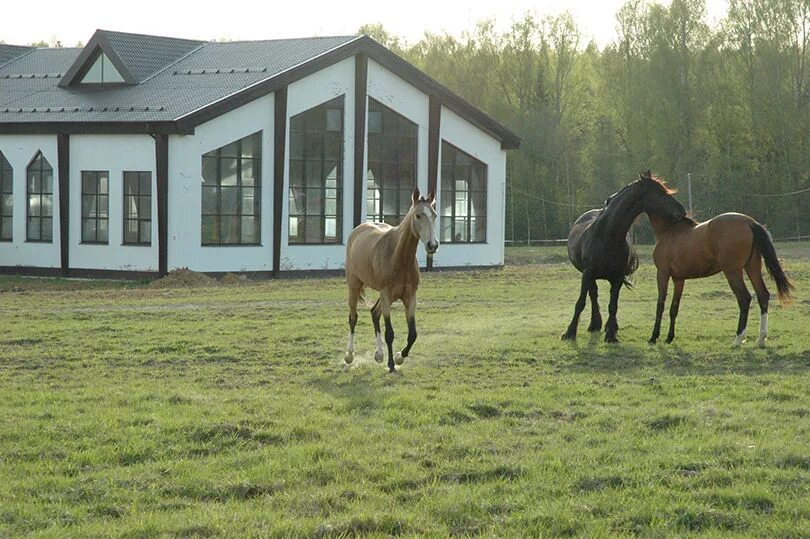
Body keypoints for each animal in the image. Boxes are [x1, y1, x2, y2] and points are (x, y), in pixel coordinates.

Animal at [344, 189, 438, 372]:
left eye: (435, 215)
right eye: (418, 215)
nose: (433, 245)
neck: (399, 256)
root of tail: (357, 231)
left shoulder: (410, 298)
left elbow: (413, 334)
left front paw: (399, 356)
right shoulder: (387, 296)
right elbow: (389, 333)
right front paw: (391, 364)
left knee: (374, 313)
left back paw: (379, 354)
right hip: (354, 286)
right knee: (353, 317)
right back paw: (350, 355)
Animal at [560, 171, 688, 344]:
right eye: (660, 195)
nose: (682, 211)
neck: (608, 236)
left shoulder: (618, 278)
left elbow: (613, 305)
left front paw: (611, 334)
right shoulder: (587, 274)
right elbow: (581, 302)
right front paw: (569, 333)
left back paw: (607, 325)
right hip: (590, 276)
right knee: (593, 294)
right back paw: (595, 324)